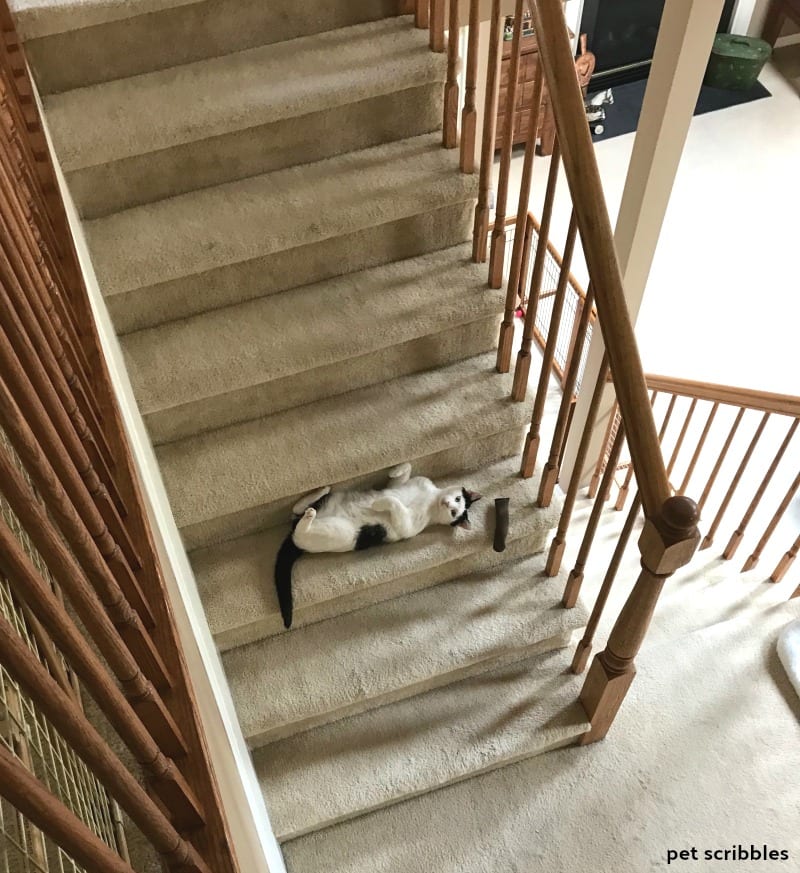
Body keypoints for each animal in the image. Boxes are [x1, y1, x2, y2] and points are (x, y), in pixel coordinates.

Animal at [272, 464, 484, 628]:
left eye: (455, 511)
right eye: (457, 499)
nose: (448, 504)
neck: (431, 498)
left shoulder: (407, 526)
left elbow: (395, 502)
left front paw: (378, 503)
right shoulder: (411, 483)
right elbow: (404, 472)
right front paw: (395, 470)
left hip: (337, 531)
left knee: (299, 531)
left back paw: (309, 516)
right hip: (332, 502)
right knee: (295, 510)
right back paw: (320, 492)